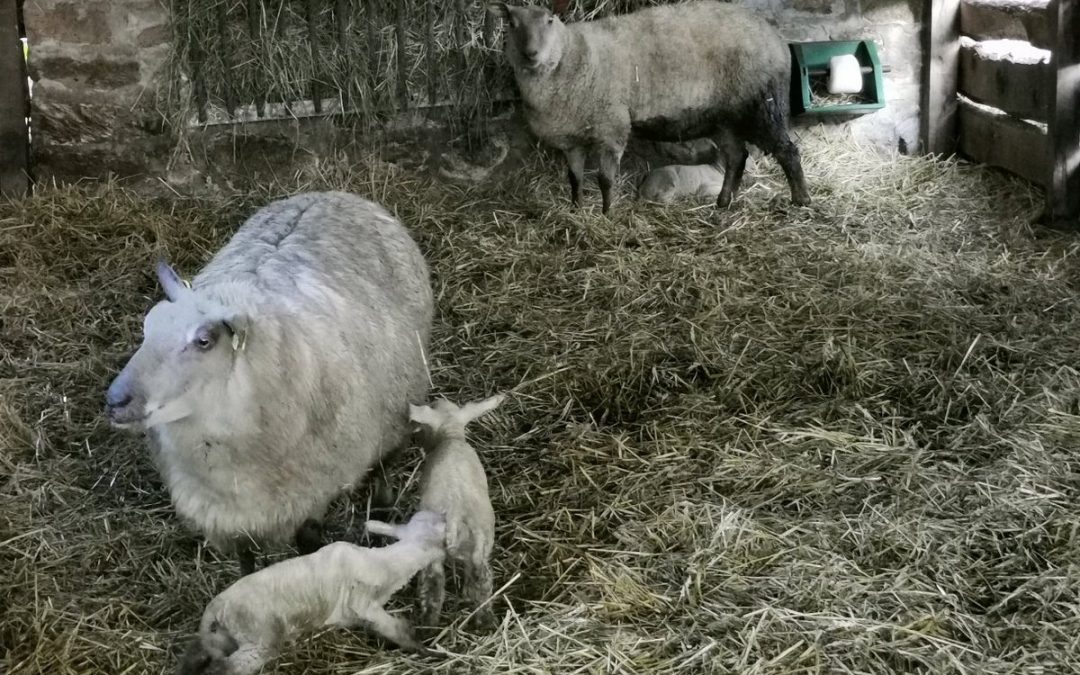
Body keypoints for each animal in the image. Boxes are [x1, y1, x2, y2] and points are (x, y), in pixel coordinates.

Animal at [105, 191, 432, 574]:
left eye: (204, 341)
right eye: (148, 326)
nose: (115, 401)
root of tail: (333, 193)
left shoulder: (308, 499)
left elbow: (309, 546)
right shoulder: (229, 519)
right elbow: (246, 565)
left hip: (399, 408)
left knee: (383, 467)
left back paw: (382, 509)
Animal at [174, 509, 444, 673]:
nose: (443, 514)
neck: (384, 564)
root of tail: (215, 609)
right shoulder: (362, 603)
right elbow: (398, 629)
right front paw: (425, 650)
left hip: (221, 638)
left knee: (197, 654)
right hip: (259, 638)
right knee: (225, 668)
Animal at [408, 393, 505, 630]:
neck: (450, 434)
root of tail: (454, 513)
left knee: (433, 586)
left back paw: (429, 624)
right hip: (480, 545)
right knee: (481, 581)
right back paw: (484, 621)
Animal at [492, 0, 812, 212]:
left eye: (550, 21)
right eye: (512, 23)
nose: (530, 53)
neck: (571, 55)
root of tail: (774, 37)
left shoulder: (612, 127)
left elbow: (605, 179)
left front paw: (607, 213)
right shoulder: (572, 139)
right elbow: (575, 178)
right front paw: (577, 208)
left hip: (764, 105)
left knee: (788, 151)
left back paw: (801, 200)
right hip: (724, 118)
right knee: (736, 157)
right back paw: (723, 202)